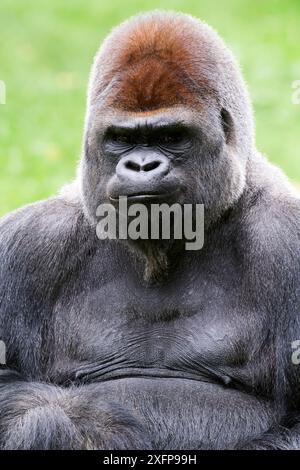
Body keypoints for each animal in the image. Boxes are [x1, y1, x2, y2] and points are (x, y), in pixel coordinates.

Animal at [0, 11, 300, 450]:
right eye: (121, 138)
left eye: (171, 136)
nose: (142, 166)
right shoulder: (27, 245)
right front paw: (64, 424)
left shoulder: (286, 241)